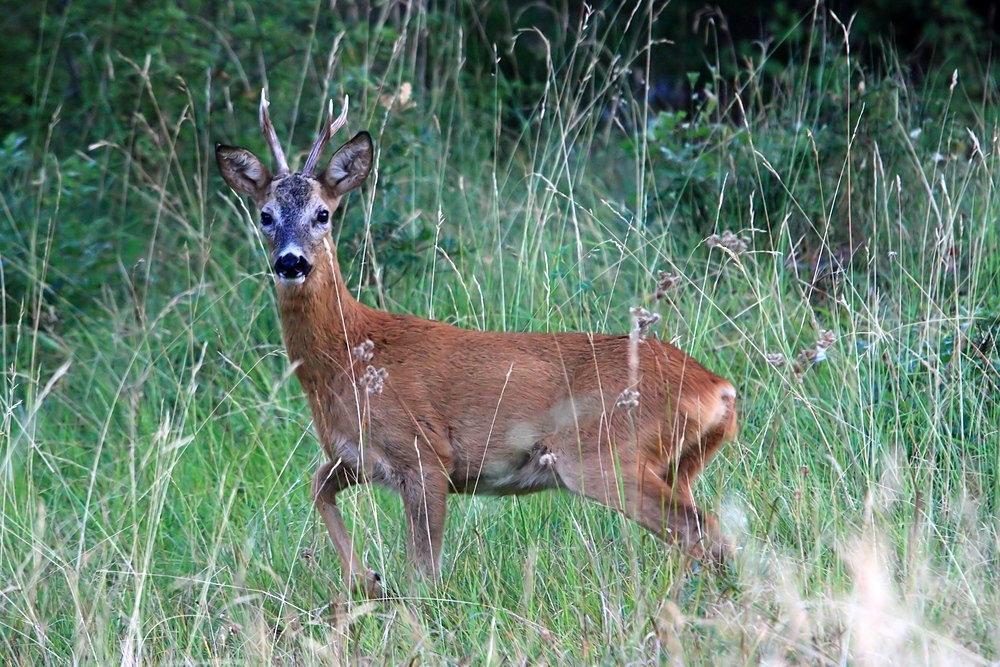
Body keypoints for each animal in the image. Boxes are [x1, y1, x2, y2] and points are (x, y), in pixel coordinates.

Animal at [215, 91, 740, 596]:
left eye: (323, 213)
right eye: (265, 215)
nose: (291, 262)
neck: (350, 356)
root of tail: (719, 388)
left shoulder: (424, 453)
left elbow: (425, 573)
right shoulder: (357, 454)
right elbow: (318, 484)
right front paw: (366, 580)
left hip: (607, 455)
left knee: (705, 533)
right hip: (678, 464)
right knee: (701, 535)